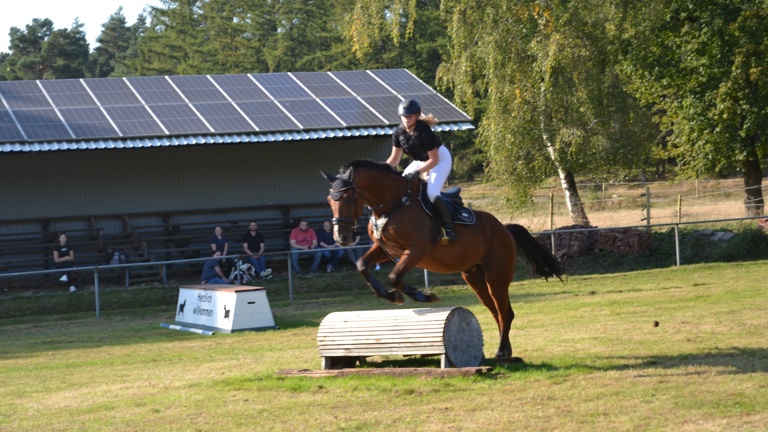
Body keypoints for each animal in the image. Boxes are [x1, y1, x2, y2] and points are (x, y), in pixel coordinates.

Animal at [324, 159, 564, 358]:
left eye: (348, 198)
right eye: (329, 200)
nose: (341, 237)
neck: (393, 204)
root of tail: (504, 228)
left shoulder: (416, 250)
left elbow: (395, 276)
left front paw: (423, 296)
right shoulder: (384, 249)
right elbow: (362, 265)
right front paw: (391, 296)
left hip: (496, 276)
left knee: (505, 312)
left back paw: (500, 351)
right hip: (474, 277)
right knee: (497, 311)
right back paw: (505, 350)